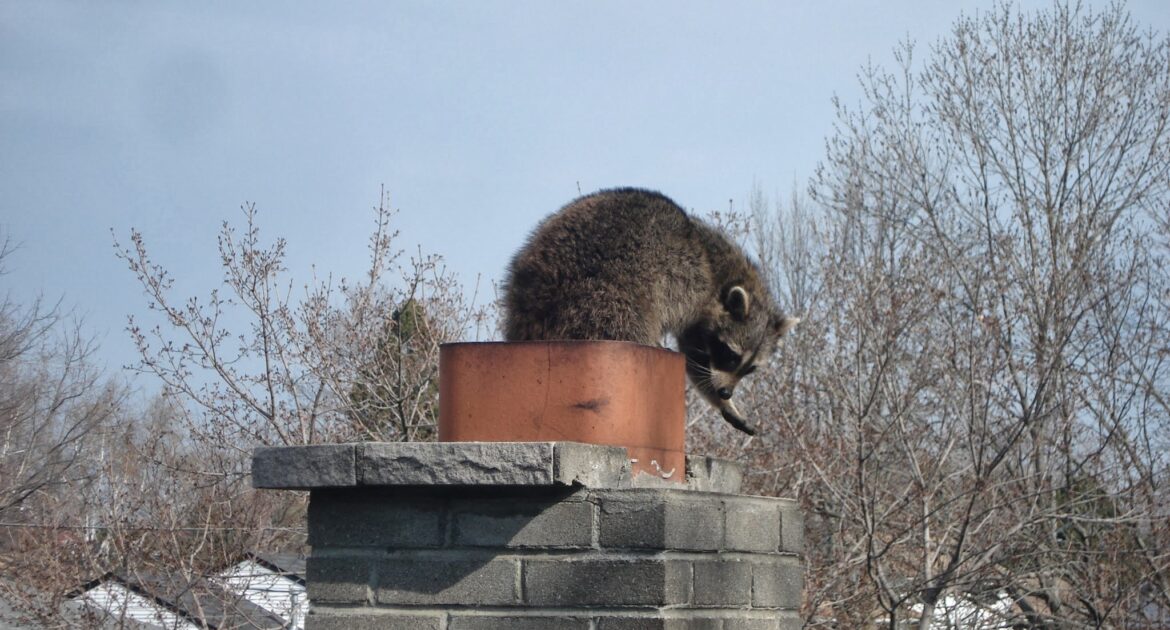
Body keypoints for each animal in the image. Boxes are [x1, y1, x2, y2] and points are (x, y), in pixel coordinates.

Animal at [498, 183, 800, 433]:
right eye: (731, 355)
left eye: (750, 369)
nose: (726, 392)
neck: (721, 270)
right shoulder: (693, 294)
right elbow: (694, 354)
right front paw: (716, 394)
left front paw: (723, 401)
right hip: (602, 296)